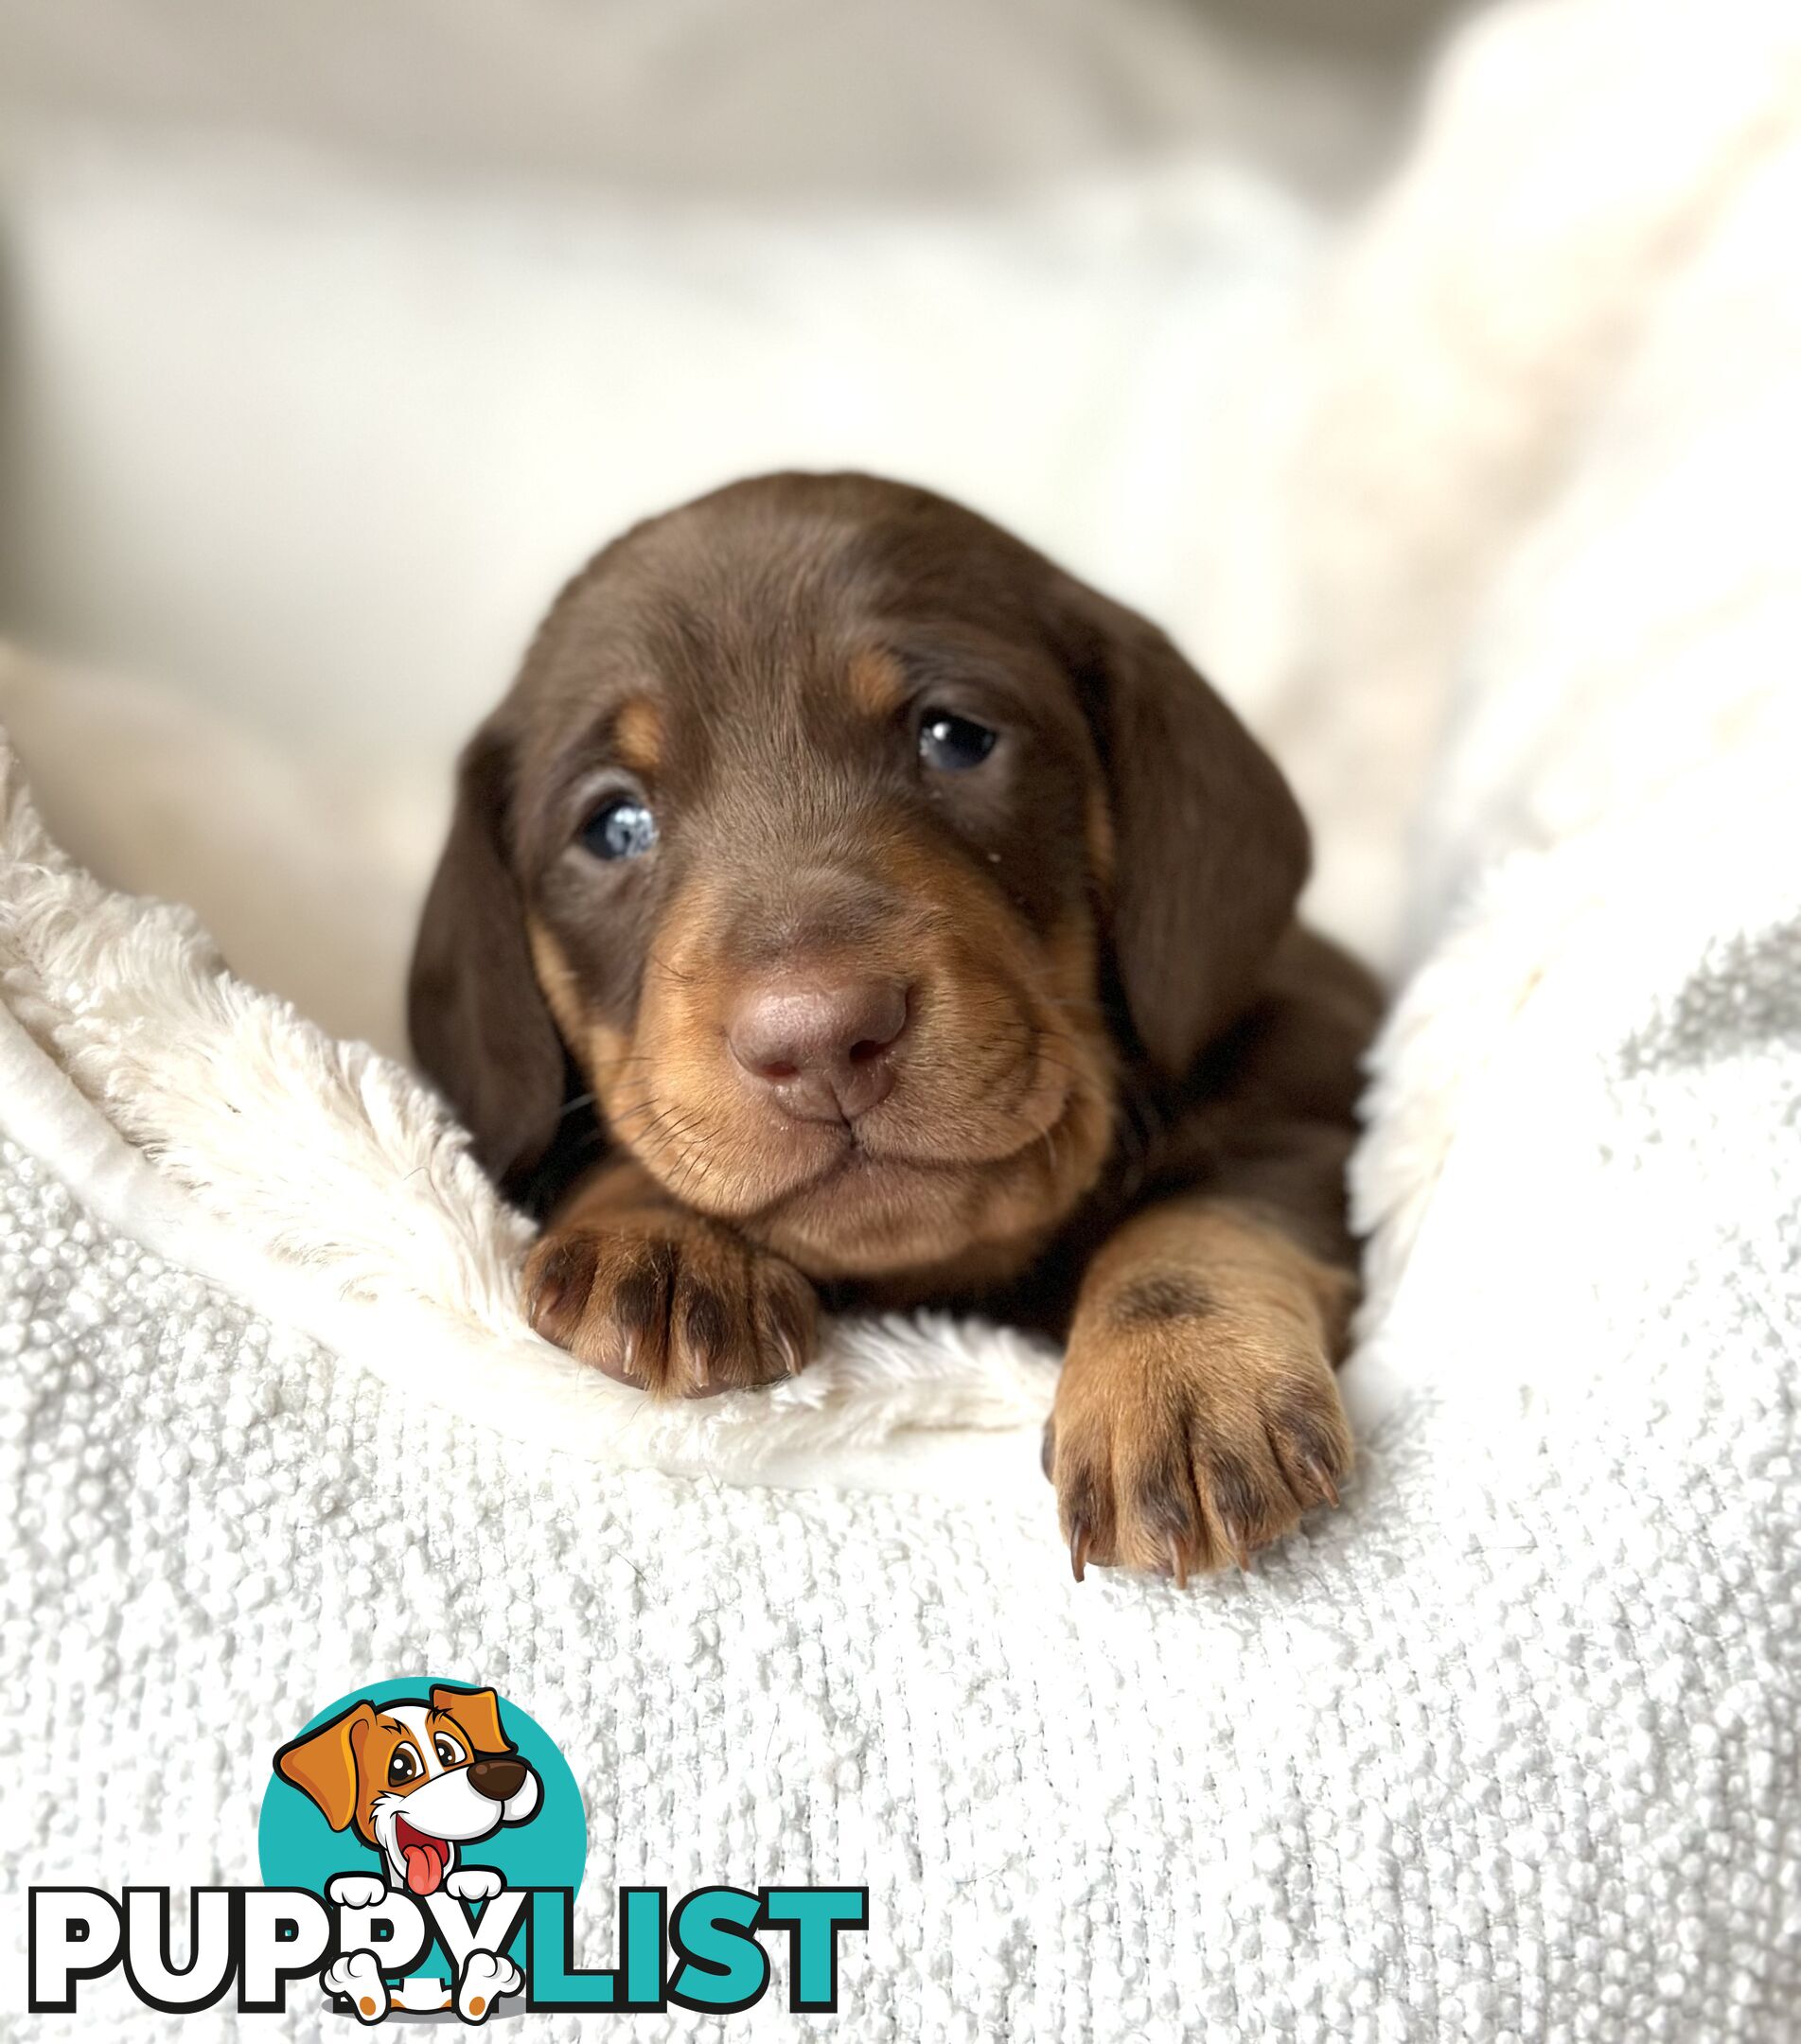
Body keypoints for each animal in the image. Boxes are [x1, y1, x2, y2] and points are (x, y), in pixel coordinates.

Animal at [415, 474, 1373, 1577]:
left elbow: (1205, 1209)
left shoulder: (1316, 1089)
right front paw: (656, 1232)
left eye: (953, 738)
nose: (820, 1040)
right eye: (613, 826)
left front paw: (1179, 1375)